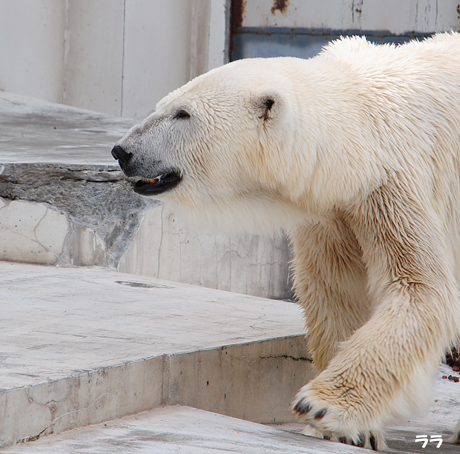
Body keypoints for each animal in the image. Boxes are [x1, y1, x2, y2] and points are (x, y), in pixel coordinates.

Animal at [111, 32, 460, 450]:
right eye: (163, 105)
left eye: (183, 114)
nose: (122, 151)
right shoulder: (331, 208)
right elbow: (336, 290)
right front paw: (351, 431)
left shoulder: (395, 183)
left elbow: (419, 287)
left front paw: (323, 406)